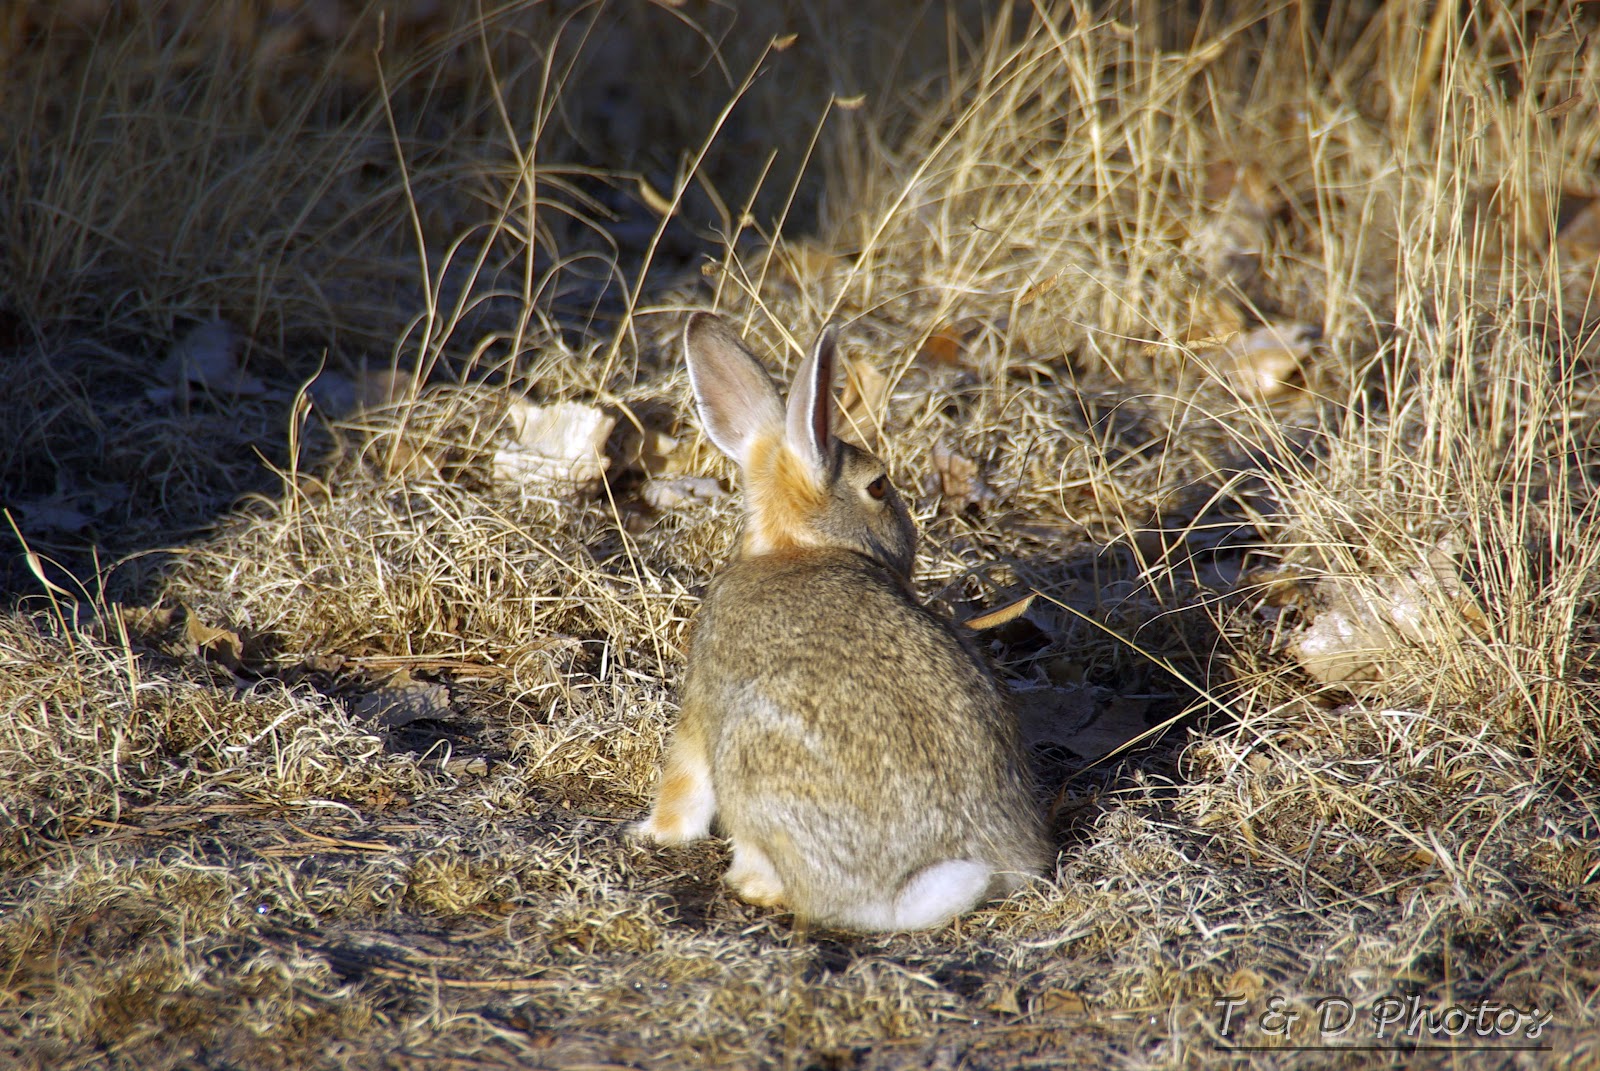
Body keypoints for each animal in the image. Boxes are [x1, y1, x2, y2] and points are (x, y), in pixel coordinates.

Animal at [634, 311, 1049, 932]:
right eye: (878, 486)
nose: (910, 537)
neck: (798, 545)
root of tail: (905, 889)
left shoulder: (702, 702)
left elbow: (683, 783)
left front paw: (651, 833)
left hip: (755, 760)